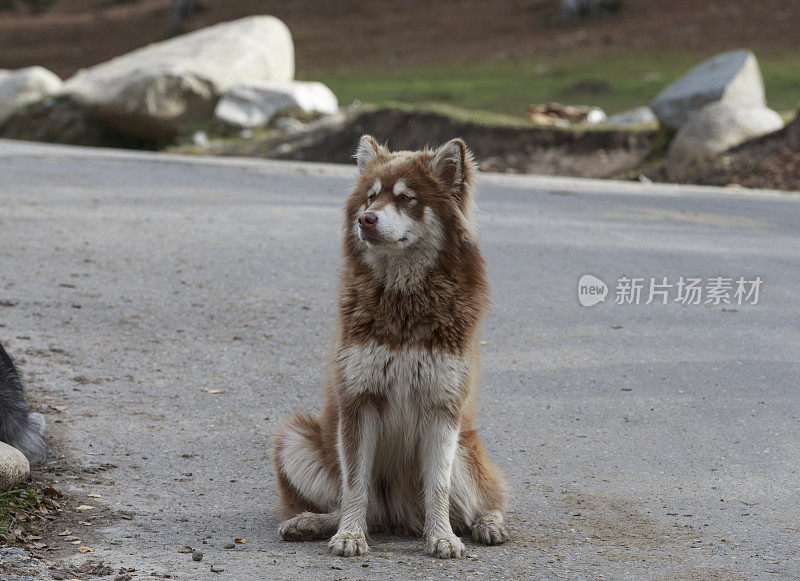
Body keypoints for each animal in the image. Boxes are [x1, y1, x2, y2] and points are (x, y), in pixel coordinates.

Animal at [276, 134, 510, 556]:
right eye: (371, 198)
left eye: (406, 199)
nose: (365, 220)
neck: (404, 300)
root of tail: (399, 517)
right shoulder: (357, 402)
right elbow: (355, 485)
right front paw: (349, 535)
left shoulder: (442, 407)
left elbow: (438, 486)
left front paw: (442, 537)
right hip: (296, 439)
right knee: (357, 507)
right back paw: (311, 522)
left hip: (465, 449)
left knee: (485, 500)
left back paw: (487, 524)